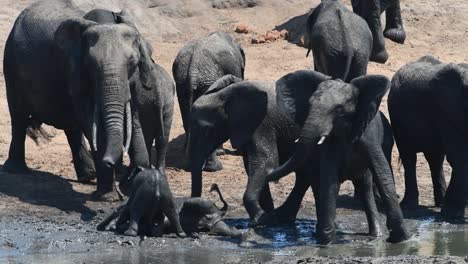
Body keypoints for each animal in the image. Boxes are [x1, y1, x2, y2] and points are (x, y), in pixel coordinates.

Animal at [3, 0, 154, 199]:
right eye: (91, 64)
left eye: (132, 62)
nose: (111, 162)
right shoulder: (75, 68)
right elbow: (90, 120)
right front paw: (108, 197)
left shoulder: (133, 80)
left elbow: (133, 117)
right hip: (11, 64)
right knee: (18, 116)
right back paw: (16, 170)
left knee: (71, 126)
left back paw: (88, 176)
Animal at [264, 70, 410, 245]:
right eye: (309, 105)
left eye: (339, 110)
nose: (268, 169)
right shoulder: (330, 144)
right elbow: (329, 179)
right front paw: (326, 242)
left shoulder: (369, 136)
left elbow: (382, 174)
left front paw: (402, 239)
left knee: (366, 186)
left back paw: (376, 236)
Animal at [388, 55, 468, 219]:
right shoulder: (447, 111)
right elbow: (459, 156)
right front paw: (452, 214)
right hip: (398, 118)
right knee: (409, 156)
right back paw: (409, 206)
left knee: (435, 159)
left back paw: (440, 203)